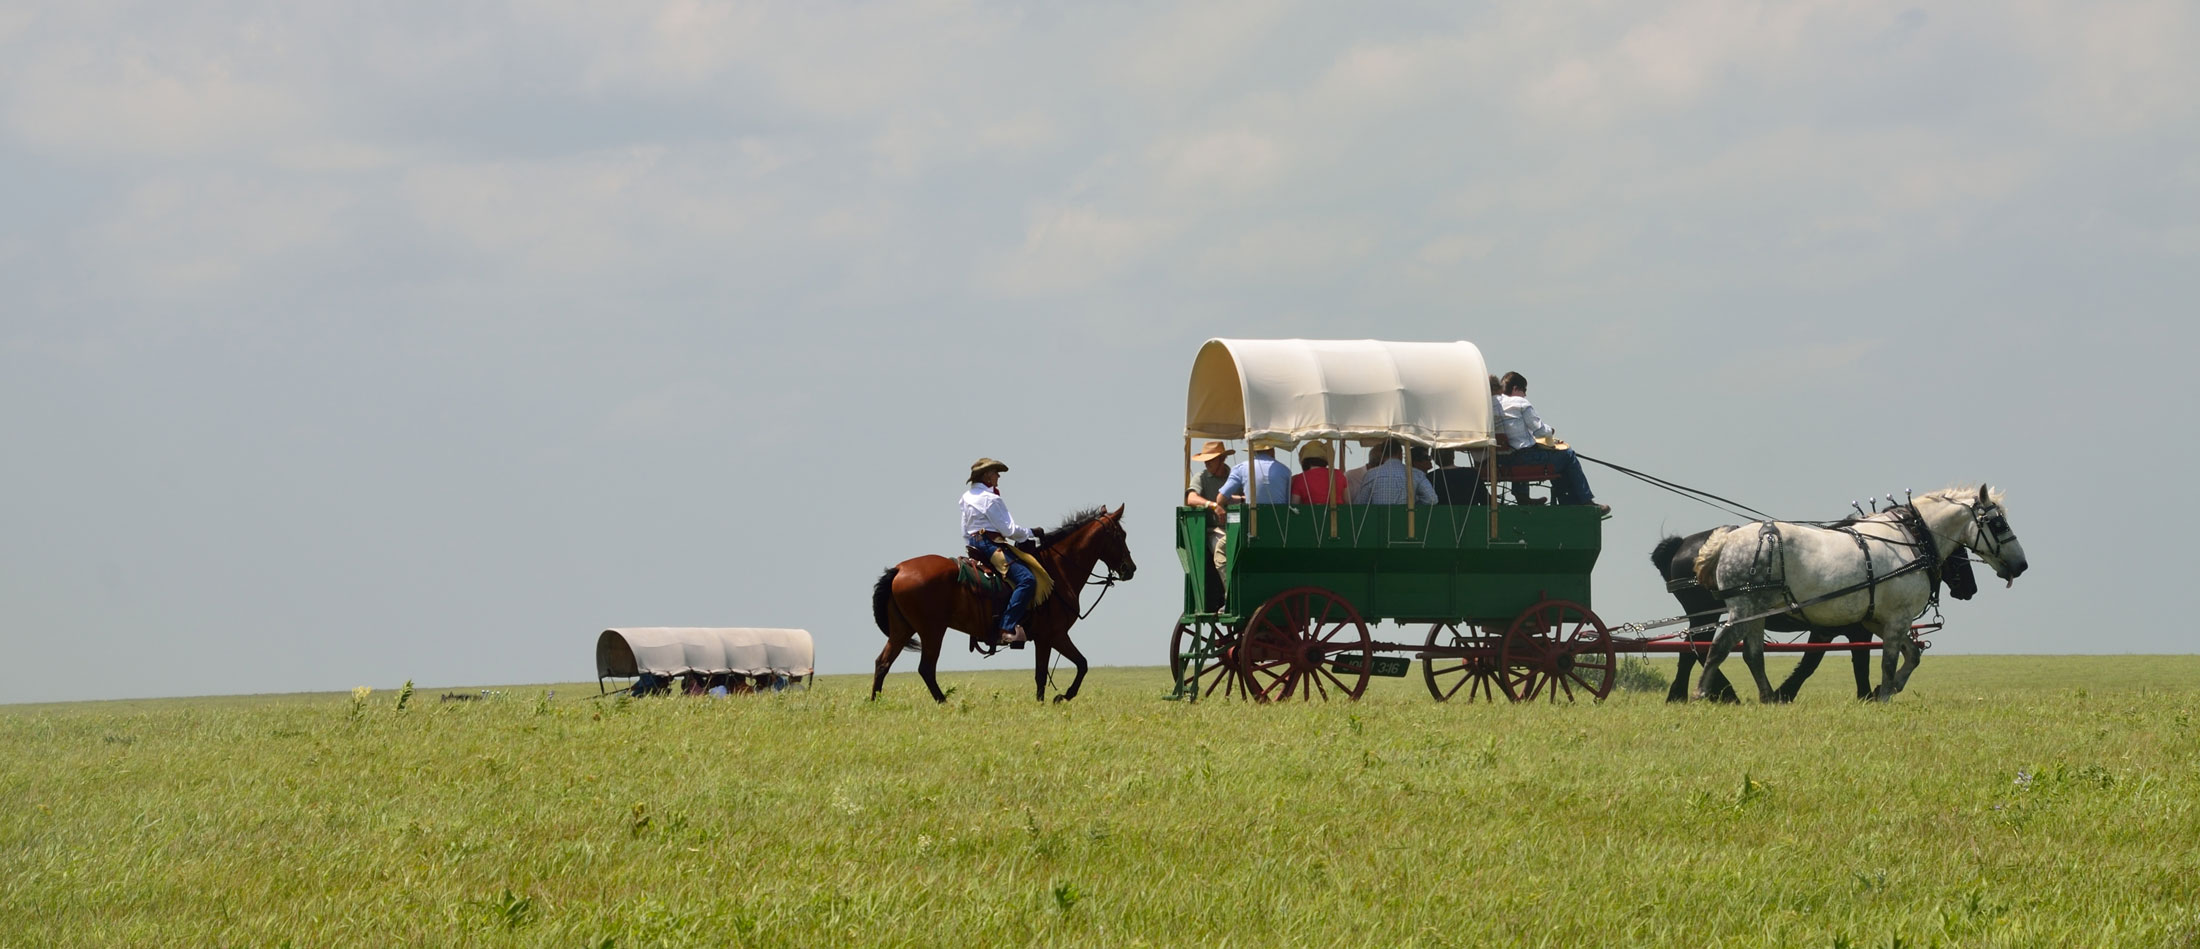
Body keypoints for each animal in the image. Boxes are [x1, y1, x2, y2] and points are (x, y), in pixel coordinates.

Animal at [866, 508, 1135, 700]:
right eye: (1120, 535)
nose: (1130, 569)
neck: (1057, 570)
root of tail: (900, 569)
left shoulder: (1046, 638)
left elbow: (1057, 670)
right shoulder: (1053, 635)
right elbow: (1075, 666)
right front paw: (1061, 697)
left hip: (902, 629)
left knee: (883, 663)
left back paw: (876, 703)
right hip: (932, 630)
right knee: (926, 668)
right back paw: (944, 702)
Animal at [1680, 486, 2024, 700]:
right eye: (1998, 523)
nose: (2022, 564)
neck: (1910, 539)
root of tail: (1729, 538)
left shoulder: (1876, 621)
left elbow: (1911, 655)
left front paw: (1890, 688)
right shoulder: (1896, 619)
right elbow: (1887, 661)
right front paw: (1883, 694)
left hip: (1756, 611)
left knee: (1752, 653)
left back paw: (1766, 695)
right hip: (1743, 607)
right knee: (1719, 647)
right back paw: (1700, 692)